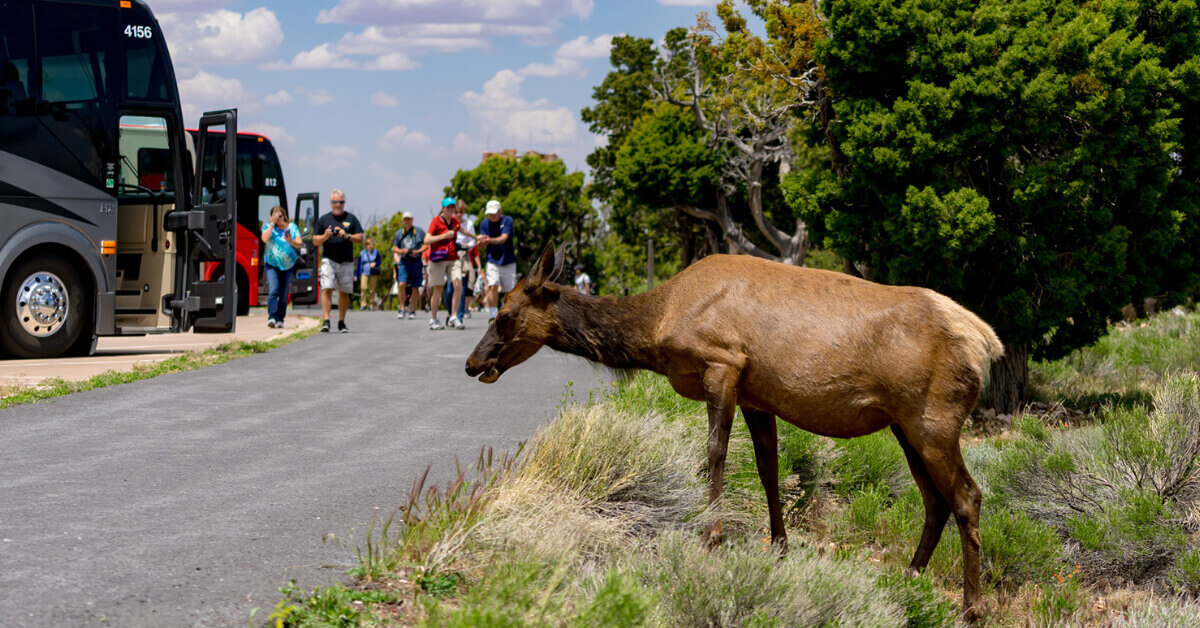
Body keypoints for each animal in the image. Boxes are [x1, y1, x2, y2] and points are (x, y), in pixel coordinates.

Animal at [466, 245, 1003, 620]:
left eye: (504, 315)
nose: (472, 363)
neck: (656, 326)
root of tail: (986, 343)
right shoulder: (756, 396)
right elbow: (768, 469)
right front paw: (780, 548)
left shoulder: (721, 363)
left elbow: (715, 454)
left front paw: (711, 537)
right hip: (905, 425)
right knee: (935, 501)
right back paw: (909, 578)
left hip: (933, 419)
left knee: (967, 495)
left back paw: (971, 606)